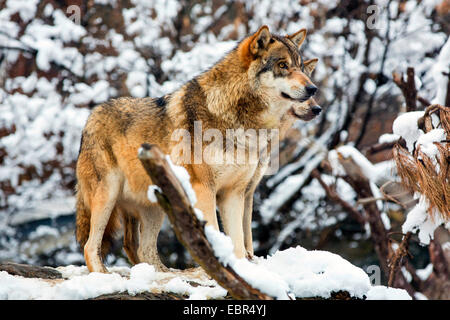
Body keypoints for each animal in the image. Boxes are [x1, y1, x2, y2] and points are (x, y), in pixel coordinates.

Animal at [75, 25, 320, 272]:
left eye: (301, 67)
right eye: (283, 65)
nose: (313, 90)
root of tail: (90, 118)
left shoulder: (235, 193)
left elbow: (239, 245)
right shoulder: (204, 189)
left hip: (155, 206)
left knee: (143, 250)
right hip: (108, 194)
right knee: (90, 246)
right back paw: (103, 274)